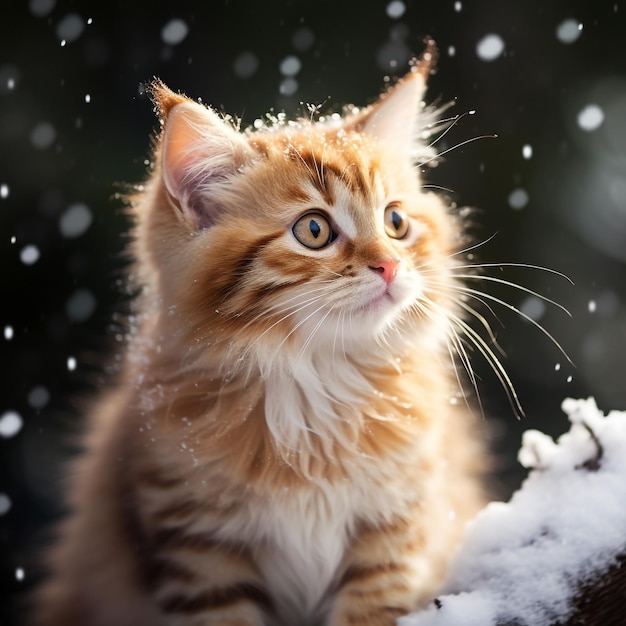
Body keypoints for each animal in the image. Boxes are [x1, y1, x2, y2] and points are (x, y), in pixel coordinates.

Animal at [33, 45, 482, 624]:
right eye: (314, 230)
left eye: (396, 222)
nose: (388, 266)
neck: (315, 389)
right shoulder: (200, 554)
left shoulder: (393, 541)